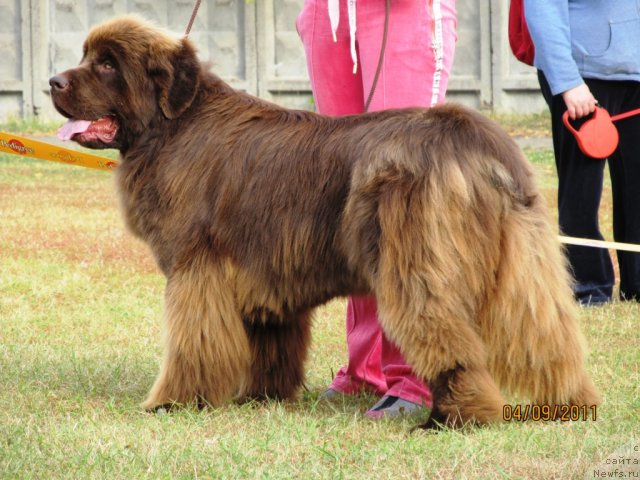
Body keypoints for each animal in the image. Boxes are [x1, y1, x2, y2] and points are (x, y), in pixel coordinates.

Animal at [50, 15, 600, 428]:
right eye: (86, 56)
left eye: (107, 64)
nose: (53, 81)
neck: (173, 126)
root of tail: (476, 139)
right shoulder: (263, 273)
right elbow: (270, 341)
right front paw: (262, 396)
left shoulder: (196, 269)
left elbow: (195, 342)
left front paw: (173, 402)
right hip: (525, 261)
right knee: (548, 334)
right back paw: (569, 404)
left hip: (417, 261)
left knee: (449, 338)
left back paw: (451, 418)